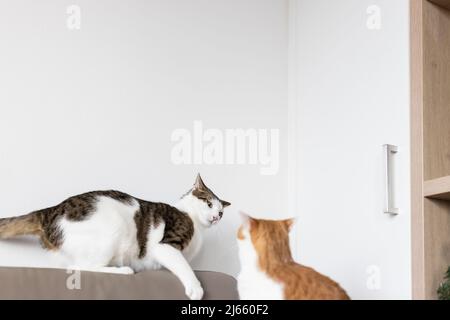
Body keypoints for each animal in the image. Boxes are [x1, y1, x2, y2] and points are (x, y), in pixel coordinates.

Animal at [0, 174, 230, 298]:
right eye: (209, 204)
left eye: (221, 212)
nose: (215, 217)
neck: (195, 223)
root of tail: (50, 211)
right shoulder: (166, 245)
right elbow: (184, 266)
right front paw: (196, 288)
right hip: (113, 228)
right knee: (82, 267)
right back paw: (123, 270)